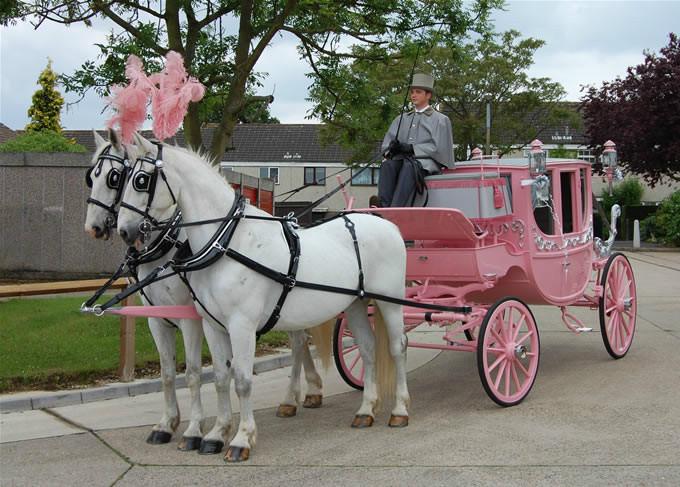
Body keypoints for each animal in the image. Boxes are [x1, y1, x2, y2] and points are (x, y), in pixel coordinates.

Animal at [83, 131, 334, 458]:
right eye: (91, 177)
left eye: (119, 178)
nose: (95, 227)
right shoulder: (157, 319)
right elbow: (169, 373)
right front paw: (168, 424)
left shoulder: (192, 318)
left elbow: (193, 373)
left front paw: (194, 430)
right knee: (300, 342)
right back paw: (308, 393)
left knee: (297, 344)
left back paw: (293, 397)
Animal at [118, 135, 410, 464]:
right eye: (122, 178)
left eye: (141, 180)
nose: (124, 230)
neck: (228, 242)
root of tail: (388, 225)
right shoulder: (212, 325)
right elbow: (221, 377)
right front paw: (216, 434)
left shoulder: (241, 324)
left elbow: (243, 380)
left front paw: (241, 439)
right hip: (356, 304)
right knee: (369, 349)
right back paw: (366, 410)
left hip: (390, 301)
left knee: (397, 348)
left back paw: (399, 410)